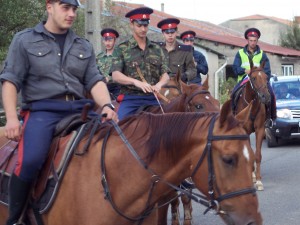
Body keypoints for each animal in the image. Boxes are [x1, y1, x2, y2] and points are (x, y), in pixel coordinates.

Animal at [231, 62, 270, 191]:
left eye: (266, 78)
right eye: (253, 78)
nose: (266, 97)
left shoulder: (260, 130)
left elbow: (257, 155)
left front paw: (258, 181)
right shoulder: (244, 130)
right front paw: (252, 176)